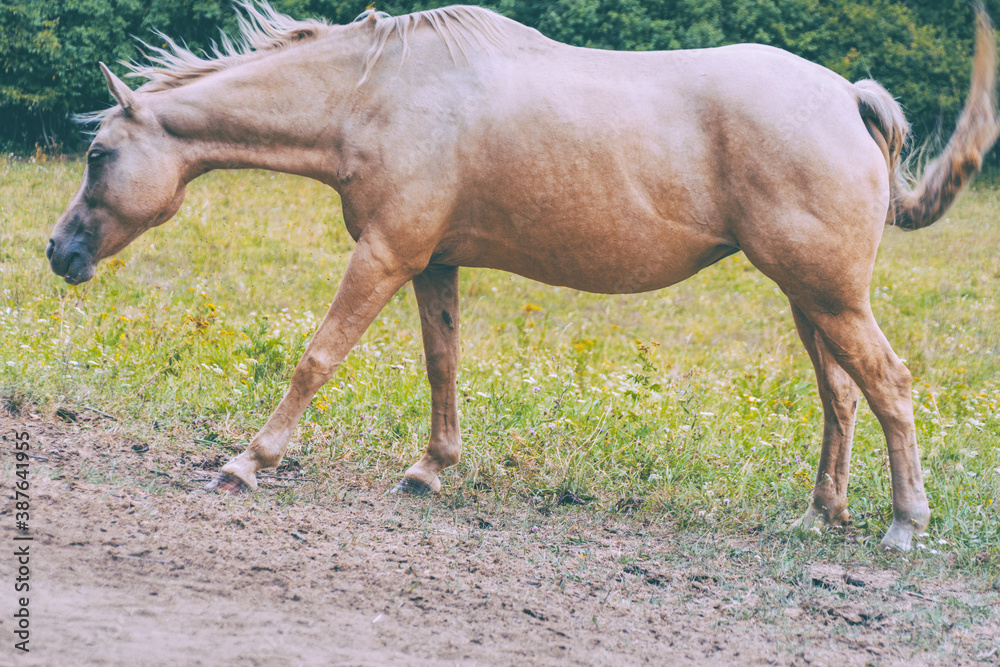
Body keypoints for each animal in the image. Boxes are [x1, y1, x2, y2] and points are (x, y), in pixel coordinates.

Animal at [48, 2, 1000, 551]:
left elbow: (317, 357)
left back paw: (903, 525)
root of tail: (848, 96)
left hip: (830, 296)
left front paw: (247, 461)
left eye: (99, 156)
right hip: (810, 299)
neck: (375, 94)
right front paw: (429, 469)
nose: (58, 251)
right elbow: (442, 367)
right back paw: (821, 514)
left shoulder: (385, 254)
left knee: (889, 386)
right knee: (842, 397)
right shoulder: (432, 262)